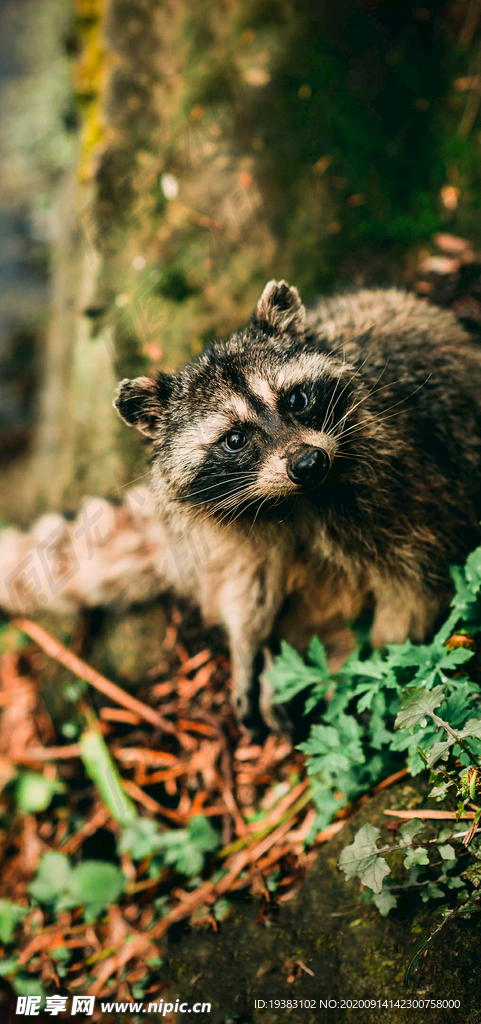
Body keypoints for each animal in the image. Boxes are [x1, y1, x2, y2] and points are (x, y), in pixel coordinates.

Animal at [113, 280, 481, 729]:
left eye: (295, 400)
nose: (308, 463)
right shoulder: (229, 527)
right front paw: (245, 642)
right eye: (234, 439)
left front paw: (370, 666)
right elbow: (245, 584)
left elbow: (414, 592)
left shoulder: (407, 489)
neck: (293, 501)